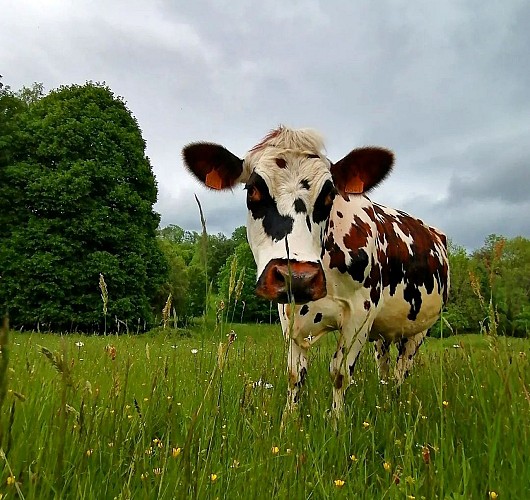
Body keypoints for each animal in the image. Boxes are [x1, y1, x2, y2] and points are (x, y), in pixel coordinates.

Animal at [182, 127, 446, 416]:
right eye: (252, 191)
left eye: (329, 195)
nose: (297, 277)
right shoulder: (288, 312)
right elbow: (295, 374)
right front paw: (289, 419)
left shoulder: (361, 312)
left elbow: (340, 373)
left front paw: (336, 422)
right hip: (385, 332)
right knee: (384, 365)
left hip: (419, 329)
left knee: (402, 369)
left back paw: (395, 403)